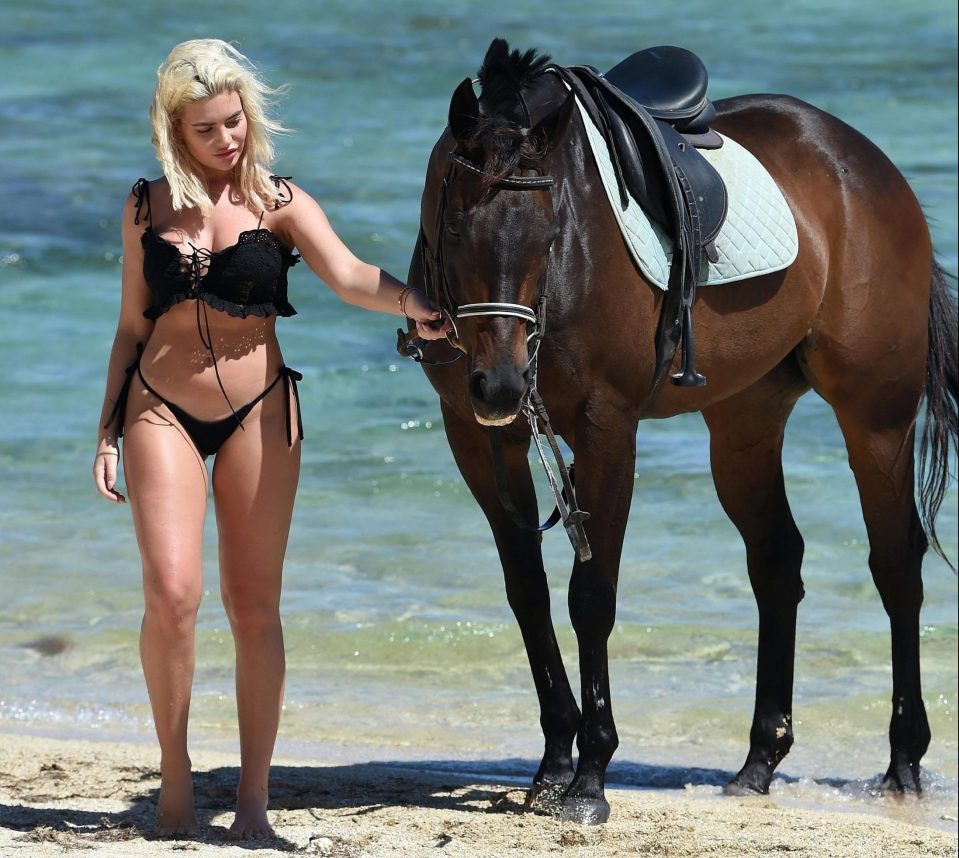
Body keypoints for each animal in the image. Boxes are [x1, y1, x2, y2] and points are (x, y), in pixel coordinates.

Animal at [402, 38, 956, 824]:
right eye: (454, 225)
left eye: (549, 231)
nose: (503, 384)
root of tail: (867, 164)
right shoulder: (479, 437)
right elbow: (528, 594)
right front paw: (552, 762)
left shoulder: (606, 430)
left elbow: (590, 595)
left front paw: (589, 775)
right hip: (744, 425)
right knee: (777, 562)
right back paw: (759, 761)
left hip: (875, 419)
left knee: (895, 564)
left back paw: (903, 760)